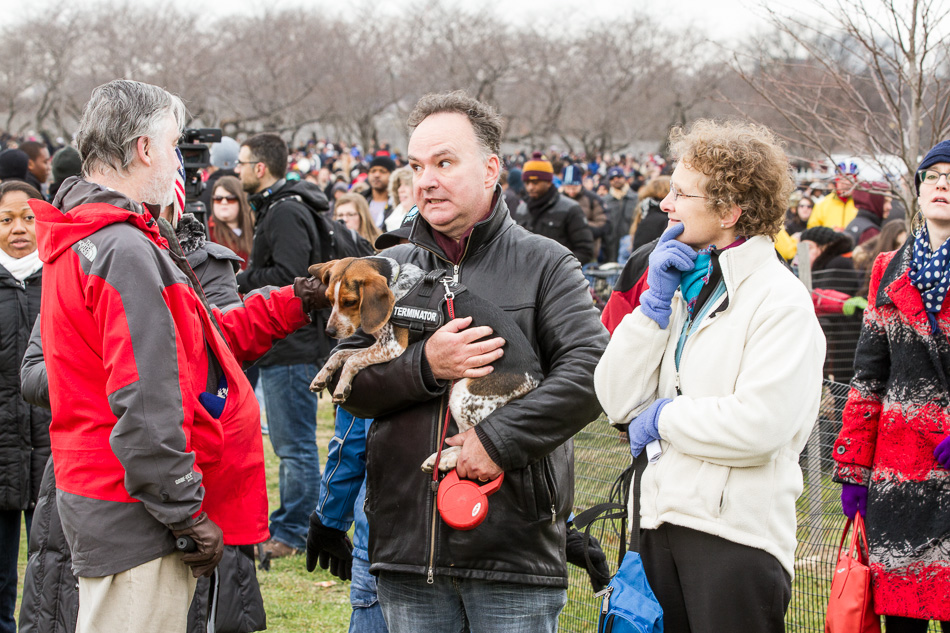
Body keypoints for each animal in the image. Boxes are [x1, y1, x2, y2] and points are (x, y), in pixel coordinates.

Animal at [306, 256, 544, 470]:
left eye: (350, 302)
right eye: (329, 299)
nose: (330, 331)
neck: (396, 281)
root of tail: (534, 379)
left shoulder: (392, 346)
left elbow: (352, 359)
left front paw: (342, 385)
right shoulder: (379, 345)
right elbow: (341, 353)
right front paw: (322, 376)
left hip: (461, 393)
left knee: (468, 438)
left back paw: (444, 459)